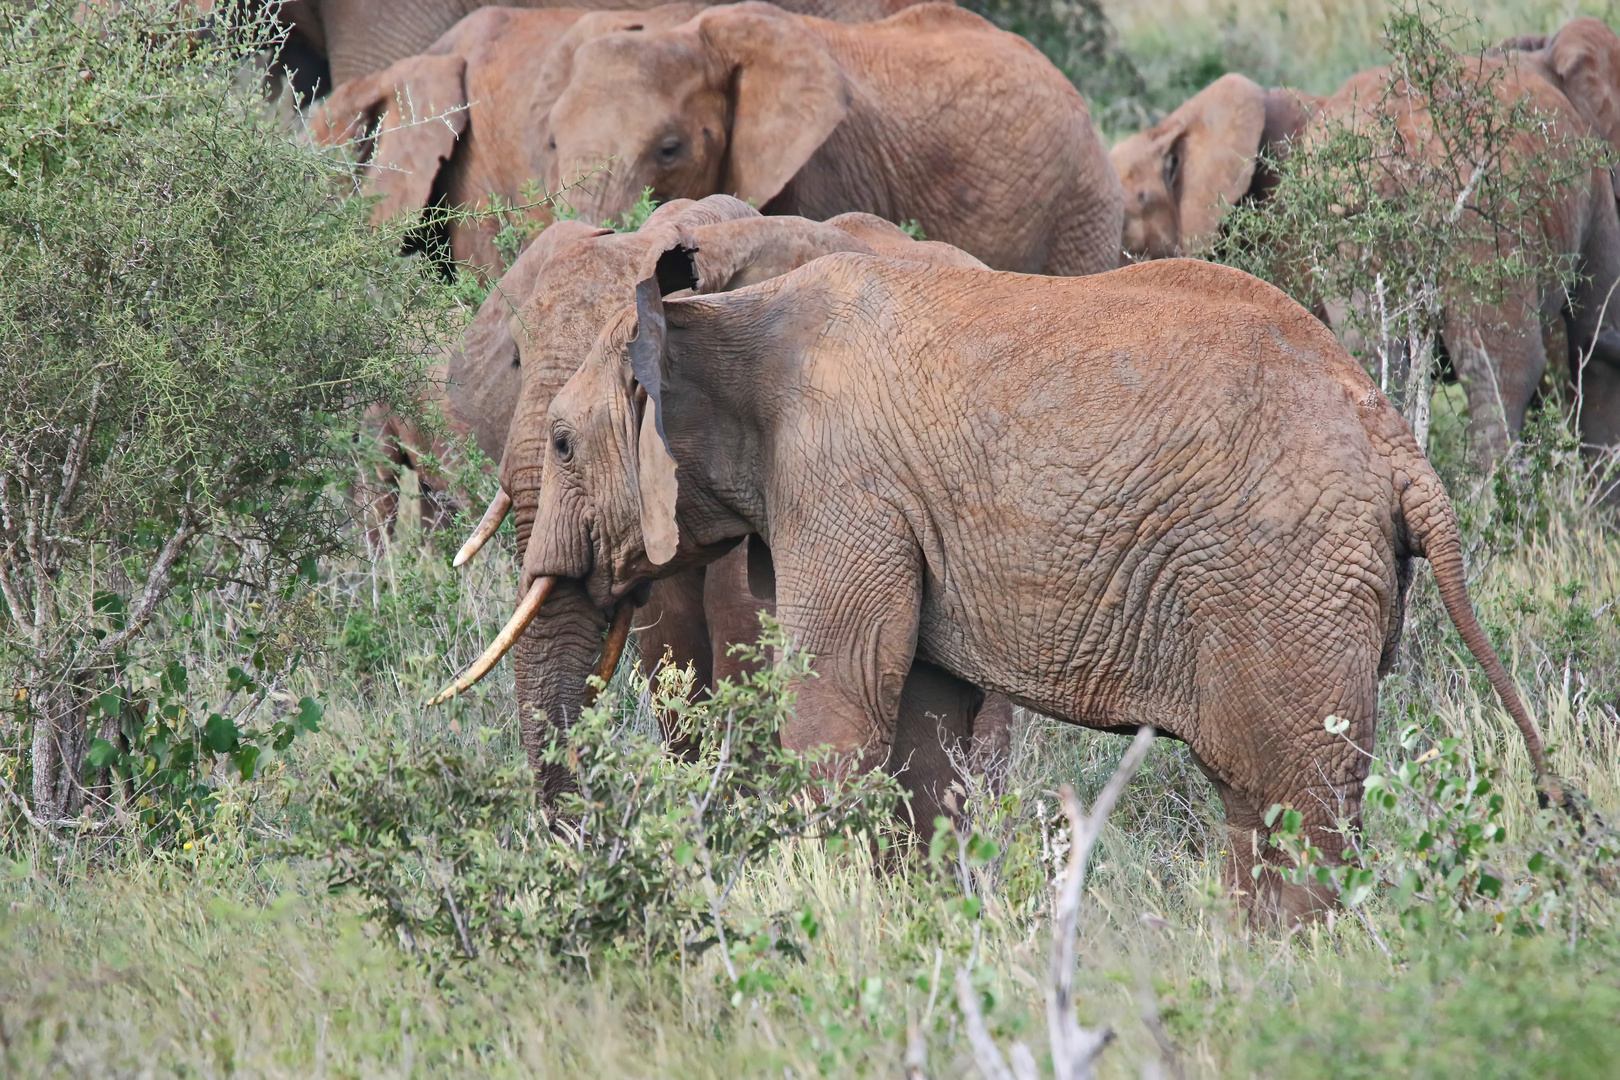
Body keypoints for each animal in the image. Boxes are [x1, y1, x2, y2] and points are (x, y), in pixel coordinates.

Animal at [450, 250, 1561, 919]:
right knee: (1258, 804)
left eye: (560, 441)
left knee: (1298, 800)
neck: (719, 315)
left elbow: (836, 700)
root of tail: (1398, 446)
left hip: (1286, 578)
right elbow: (922, 723)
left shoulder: (843, 484)